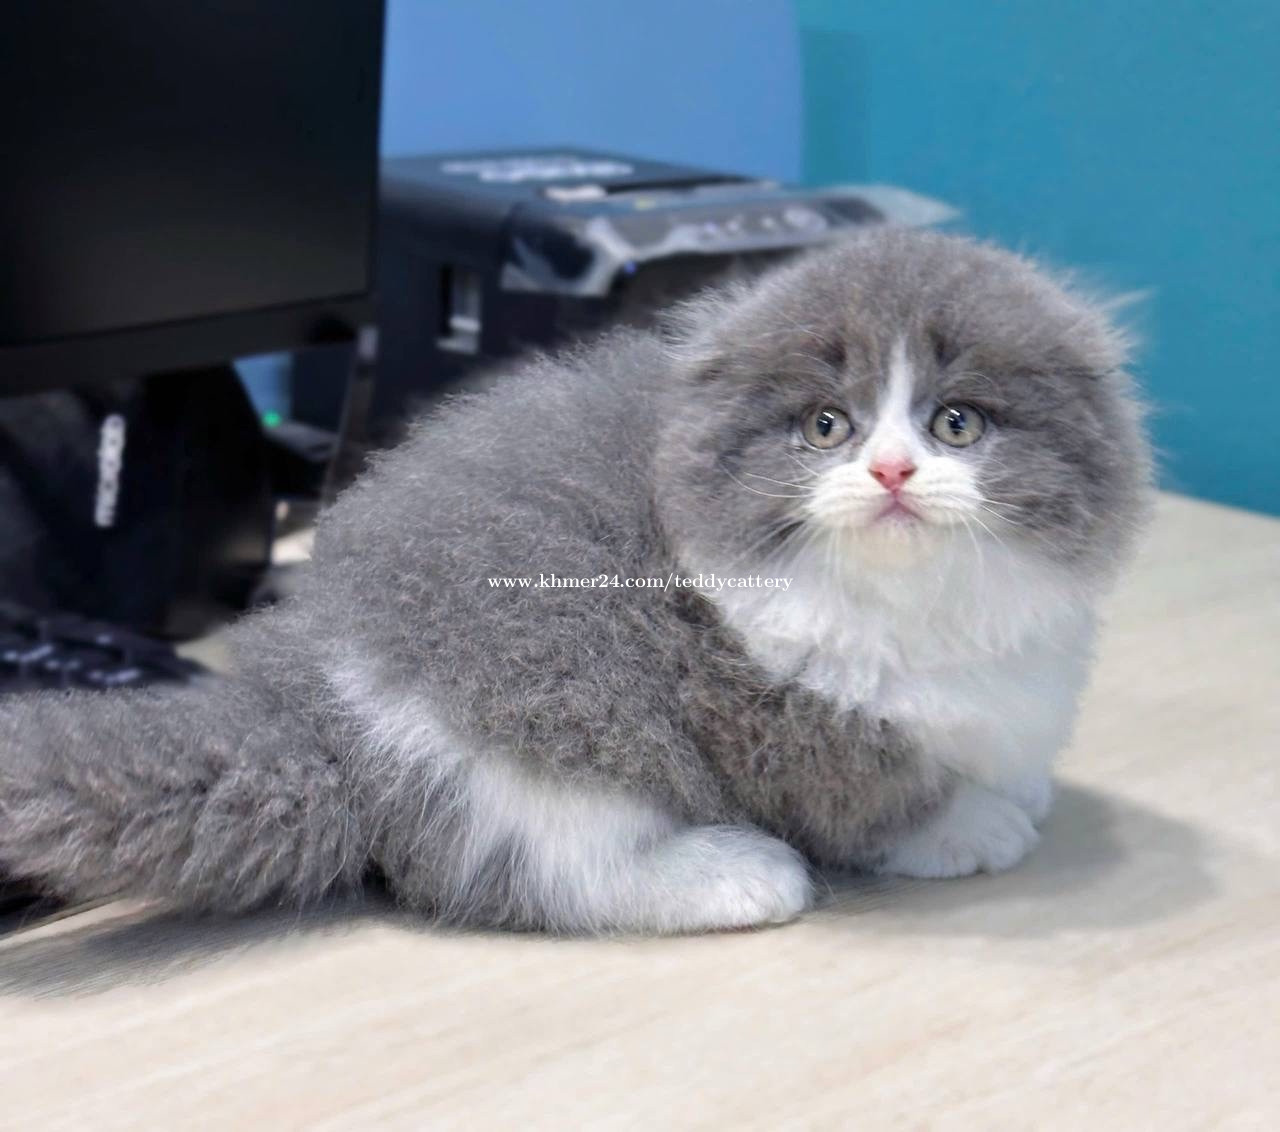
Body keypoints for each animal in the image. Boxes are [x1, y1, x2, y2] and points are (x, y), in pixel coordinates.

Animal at [0, 229, 1151, 934]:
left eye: (956, 421)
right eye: (827, 426)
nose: (893, 470)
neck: (921, 610)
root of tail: (311, 705)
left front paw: (1017, 782)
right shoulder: (772, 713)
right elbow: (878, 794)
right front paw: (969, 824)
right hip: (531, 715)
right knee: (543, 869)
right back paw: (733, 873)